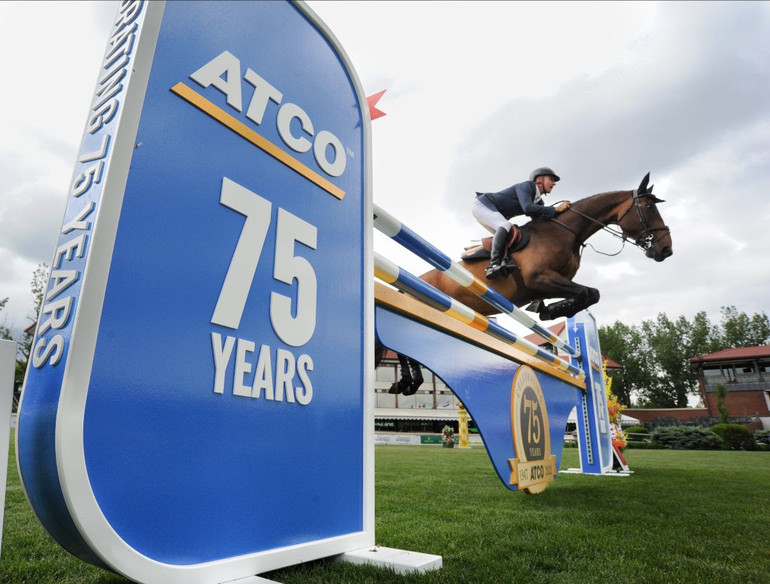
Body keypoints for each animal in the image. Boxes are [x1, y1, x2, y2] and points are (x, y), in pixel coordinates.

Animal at [376, 171, 664, 394]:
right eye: (649, 208)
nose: (666, 249)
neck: (565, 232)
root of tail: (415, 280)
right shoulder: (540, 277)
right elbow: (588, 293)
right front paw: (554, 310)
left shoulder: (548, 283)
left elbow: (589, 294)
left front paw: (550, 310)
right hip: (423, 303)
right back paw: (409, 382)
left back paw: (409, 381)